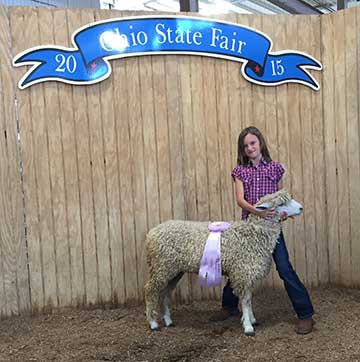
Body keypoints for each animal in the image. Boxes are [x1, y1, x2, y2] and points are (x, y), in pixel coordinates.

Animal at [145, 189, 302, 336]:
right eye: (281, 204)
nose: (301, 208)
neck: (253, 233)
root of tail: (151, 233)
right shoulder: (242, 272)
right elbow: (245, 300)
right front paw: (248, 327)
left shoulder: (247, 273)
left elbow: (249, 299)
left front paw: (252, 320)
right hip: (161, 266)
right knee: (150, 290)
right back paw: (153, 323)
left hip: (173, 269)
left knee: (165, 292)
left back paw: (168, 320)